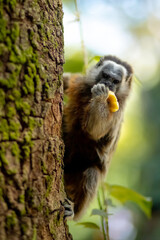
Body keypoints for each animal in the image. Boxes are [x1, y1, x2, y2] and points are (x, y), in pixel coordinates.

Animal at [62, 55, 133, 220]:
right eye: (105, 76)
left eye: (115, 81)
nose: (107, 84)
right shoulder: (77, 82)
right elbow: (66, 80)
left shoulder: (116, 112)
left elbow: (94, 130)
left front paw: (101, 96)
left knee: (91, 174)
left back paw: (74, 211)